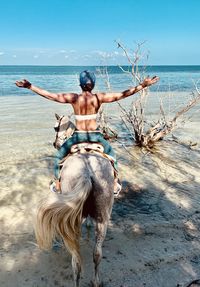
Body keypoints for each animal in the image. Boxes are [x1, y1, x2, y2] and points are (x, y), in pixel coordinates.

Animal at [34, 115, 114, 287]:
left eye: (55, 127)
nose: (55, 144)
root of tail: (87, 173)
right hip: (102, 220)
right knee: (97, 254)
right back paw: (96, 281)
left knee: (76, 261)